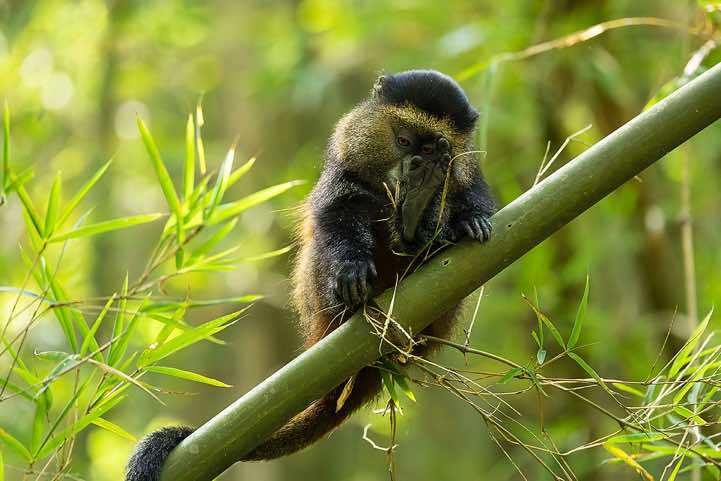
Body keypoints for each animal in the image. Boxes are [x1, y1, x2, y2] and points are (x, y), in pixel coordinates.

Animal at [125, 69, 495, 481]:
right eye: (402, 140)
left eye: (434, 150)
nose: (416, 167)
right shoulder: (343, 173)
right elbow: (338, 214)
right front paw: (352, 267)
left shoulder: (468, 175)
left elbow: (474, 201)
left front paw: (464, 219)